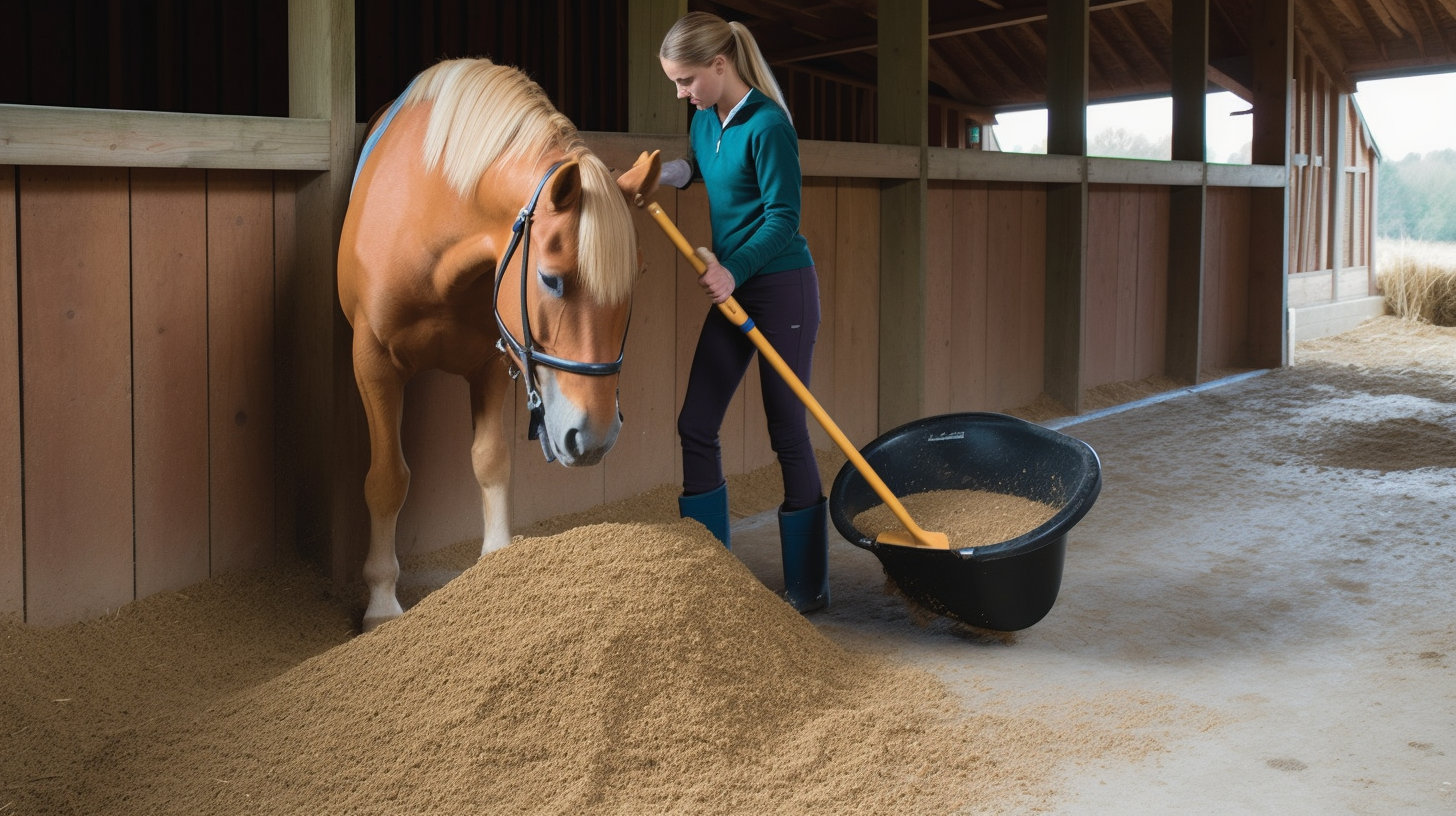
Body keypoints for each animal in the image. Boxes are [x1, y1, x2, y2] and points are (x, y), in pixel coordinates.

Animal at [337, 57, 663, 632]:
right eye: (551, 279)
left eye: (637, 277)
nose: (595, 438)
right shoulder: (373, 363)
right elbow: (387, 478)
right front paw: (380, 602)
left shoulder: (493, 361)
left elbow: (491, 460)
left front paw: (497, 563)